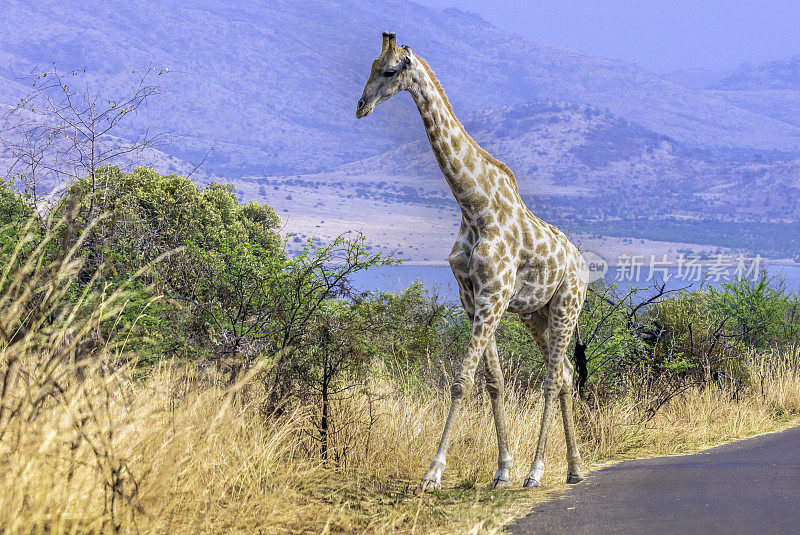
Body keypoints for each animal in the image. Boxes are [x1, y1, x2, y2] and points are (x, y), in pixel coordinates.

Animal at [356, 30, 588, 490]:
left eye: (389, 71)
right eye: (370, 66)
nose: (361, 106)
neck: (473, 205)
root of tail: (585, 265)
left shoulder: (493, 297)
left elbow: (462, 380)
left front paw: (433, 473)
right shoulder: (473, 298)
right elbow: (494, 382)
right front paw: (502, 470)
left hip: (566, 307)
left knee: (552, 379)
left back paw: (538, 471)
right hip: (536, 314)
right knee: (566, 376)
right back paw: (572, 467)